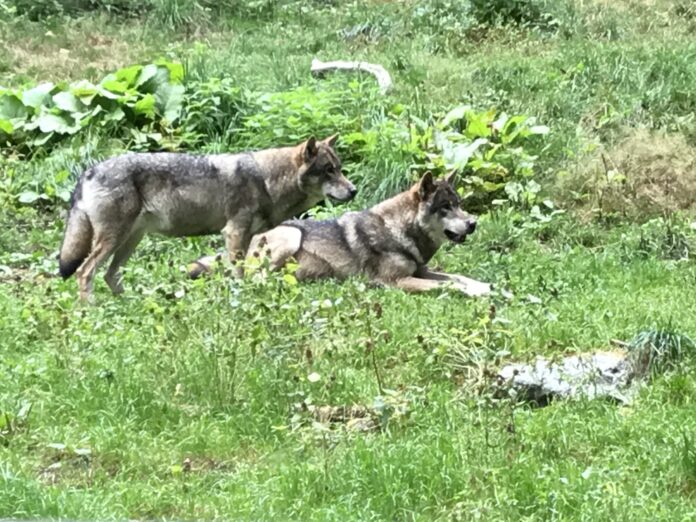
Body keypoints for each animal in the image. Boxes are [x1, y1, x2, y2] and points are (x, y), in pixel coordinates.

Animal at [58, 135, 355, 301]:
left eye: (340, 169)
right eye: (328, 171)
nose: (353, 190)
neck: (267, 179)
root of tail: (88, 170)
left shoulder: (247, 238)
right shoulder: (234, 234)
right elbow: (239, 274)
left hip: (129, 242)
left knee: (110, 275)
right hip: (113, 241)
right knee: (85, 272)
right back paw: (90, 311)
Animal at [247, 171, 492, 296]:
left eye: (459, 204)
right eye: (445, 207)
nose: (473, 223)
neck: (400, 231)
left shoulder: (421, 271)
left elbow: (458, 277)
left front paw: (484, 286)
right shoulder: (398, 281)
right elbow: (449, 284)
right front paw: (478, 292)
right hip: (291, 236)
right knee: (256, 280)